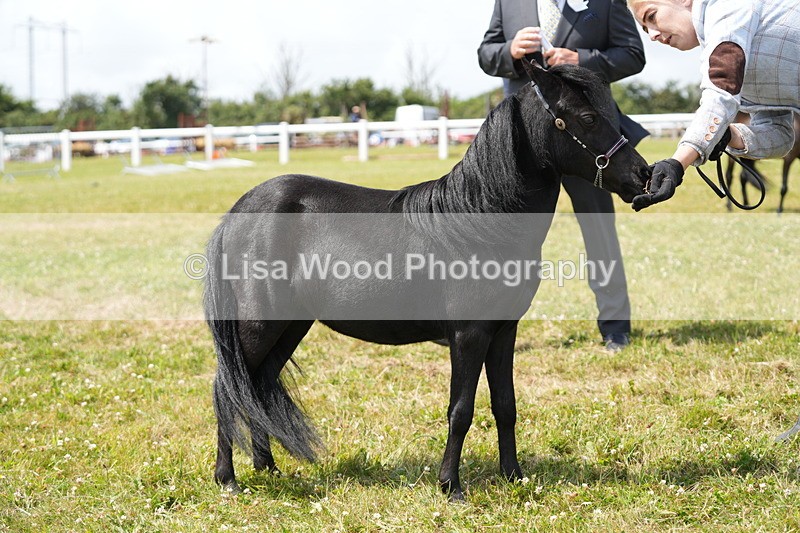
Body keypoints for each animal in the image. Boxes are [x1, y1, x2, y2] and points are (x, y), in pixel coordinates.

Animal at [204, 62, 650, 501]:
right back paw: (228, 480)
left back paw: (268, 468)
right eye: (588, 118)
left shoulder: (504, 331)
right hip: (259, 326)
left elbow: (505, 405)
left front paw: (514, 476)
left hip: (290, 326)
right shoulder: (469, 334)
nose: (643, 174)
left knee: (256, 385)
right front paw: (451, 486)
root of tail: (238, 211)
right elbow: (461, 409)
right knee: (227, 387)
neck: (480, 220)